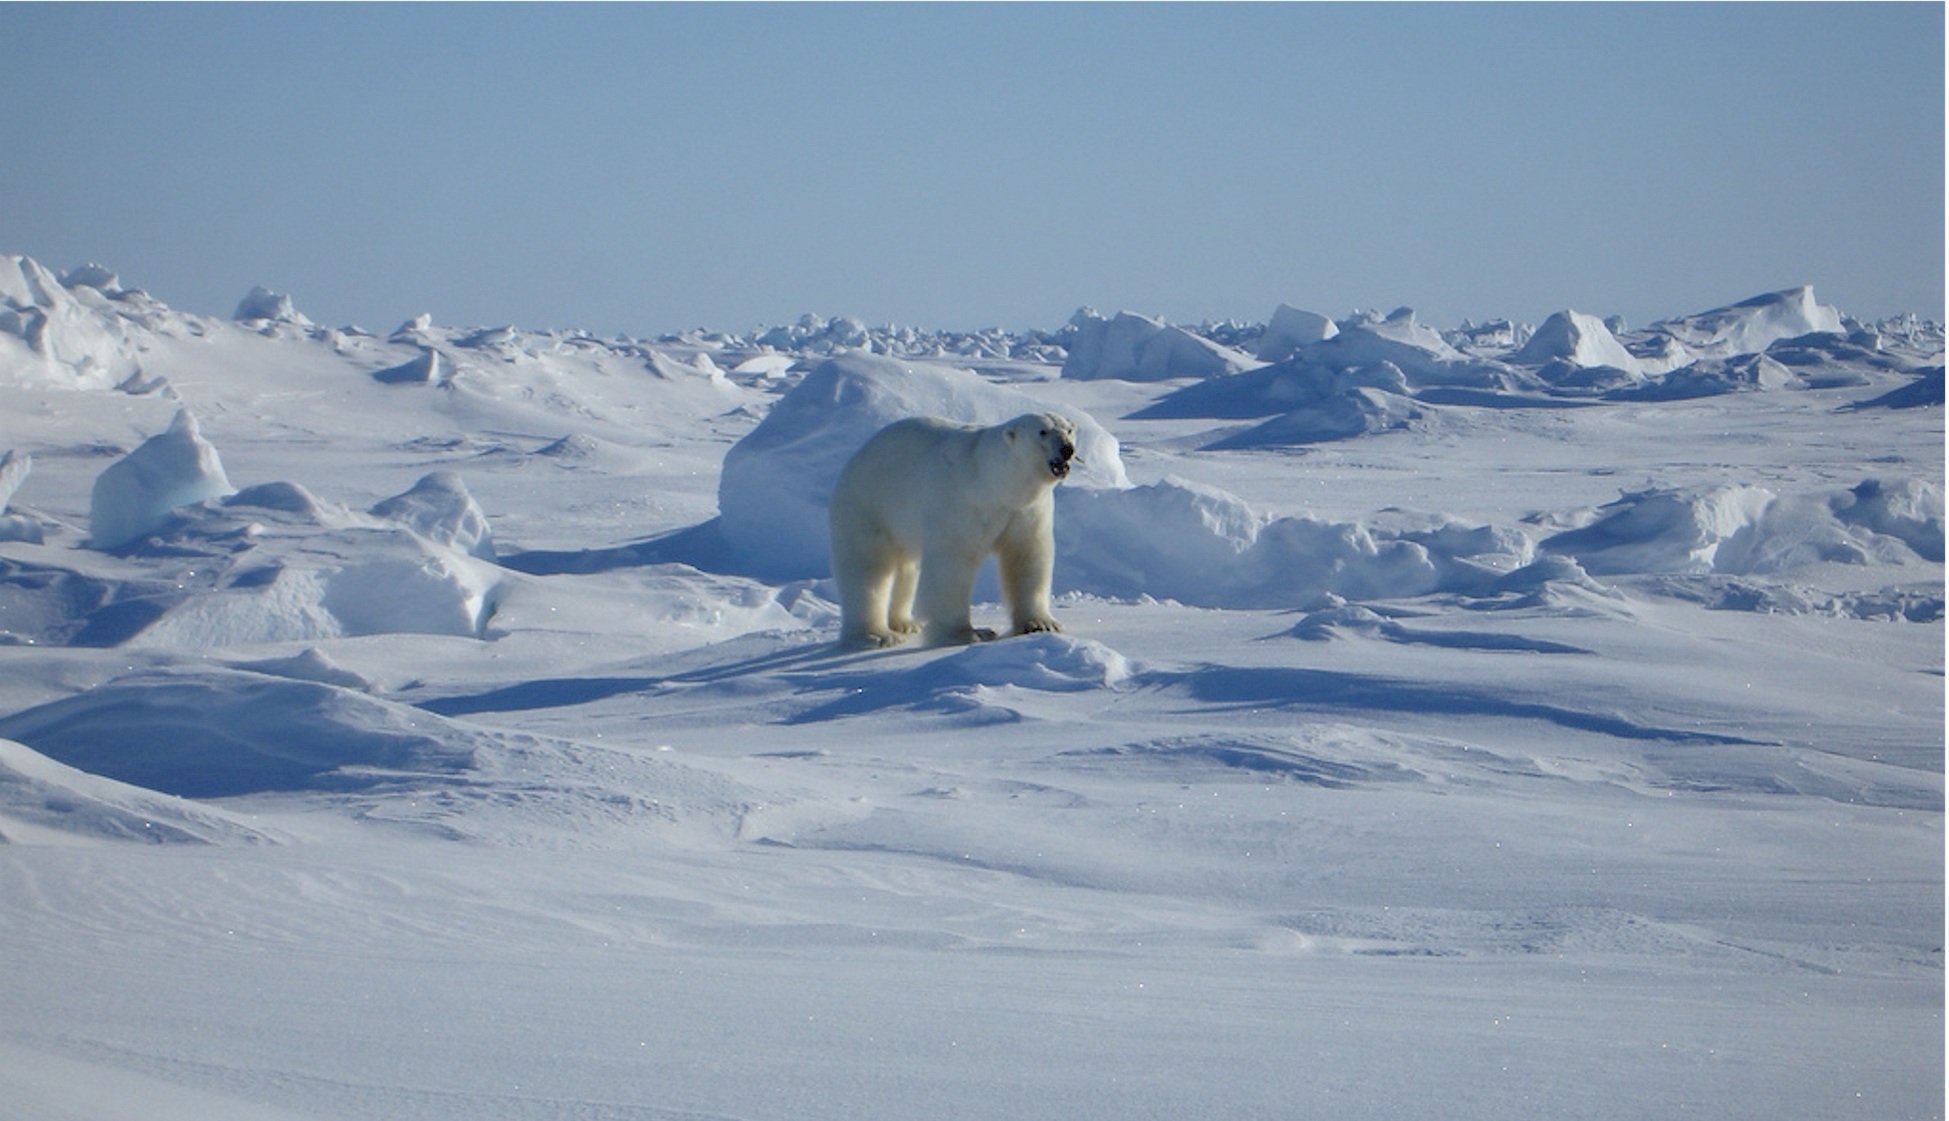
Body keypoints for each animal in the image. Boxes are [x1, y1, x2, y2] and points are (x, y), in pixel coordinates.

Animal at [826, 415, 1083, 647]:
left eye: (1069, 429)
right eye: (1042, 431)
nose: (1067, 449)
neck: (992, 482)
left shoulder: (1026, 511)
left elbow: (1027, 557)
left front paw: (1041, 624)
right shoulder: (959, 502)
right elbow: (951, 564)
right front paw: (968, 634)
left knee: (907, 568)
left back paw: (906, 623)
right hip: (869, 506)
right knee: (868, 569)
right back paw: (878, 635)